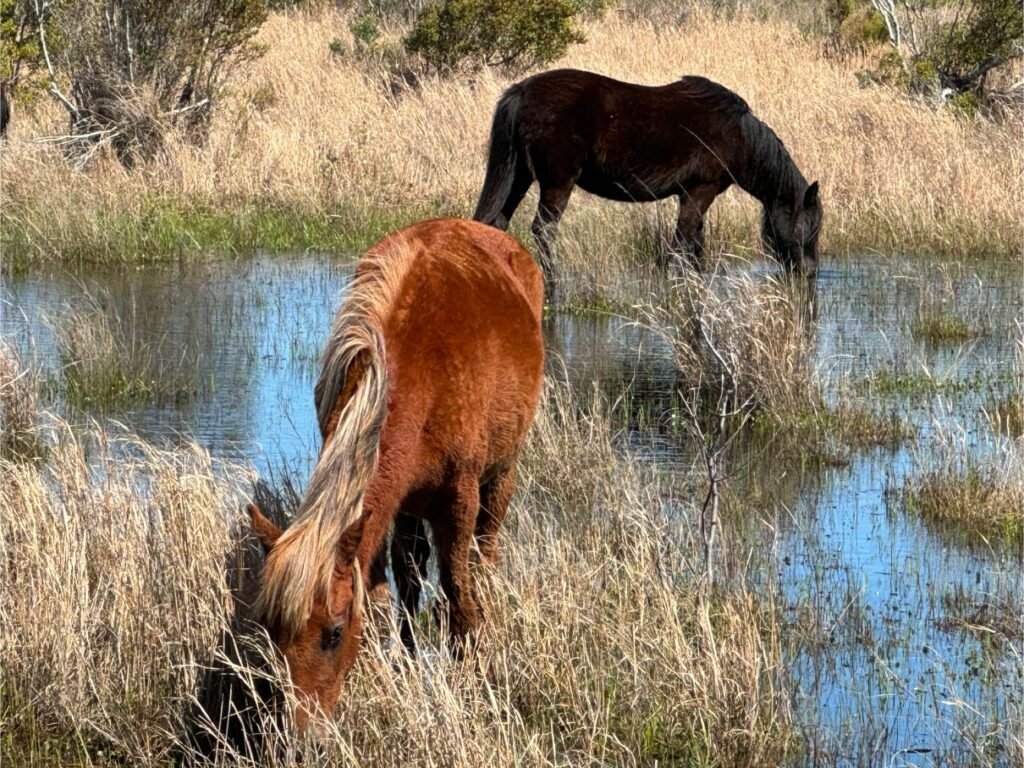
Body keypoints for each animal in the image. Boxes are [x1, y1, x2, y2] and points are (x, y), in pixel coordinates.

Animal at [245, 218, 544, 733]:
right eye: (272, 632)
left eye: (333, 633)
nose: (303, 736)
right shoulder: (388, 506)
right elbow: (387, 593)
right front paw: (397, 671)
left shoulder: (458, 499)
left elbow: (457, 595)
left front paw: (470, 677)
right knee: (410, 577)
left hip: (500, 475)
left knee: (484, 556)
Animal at [473, 68, 823, 294]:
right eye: (811, 226)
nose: (811, 272)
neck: (738, 135)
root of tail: (522, 90)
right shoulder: (700, 191)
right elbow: (682, 242)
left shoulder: (692, 195)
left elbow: (695, 245)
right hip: (557, 181)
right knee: (543, 230)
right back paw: (554, 284)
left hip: (520, 176)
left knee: (497, 222)